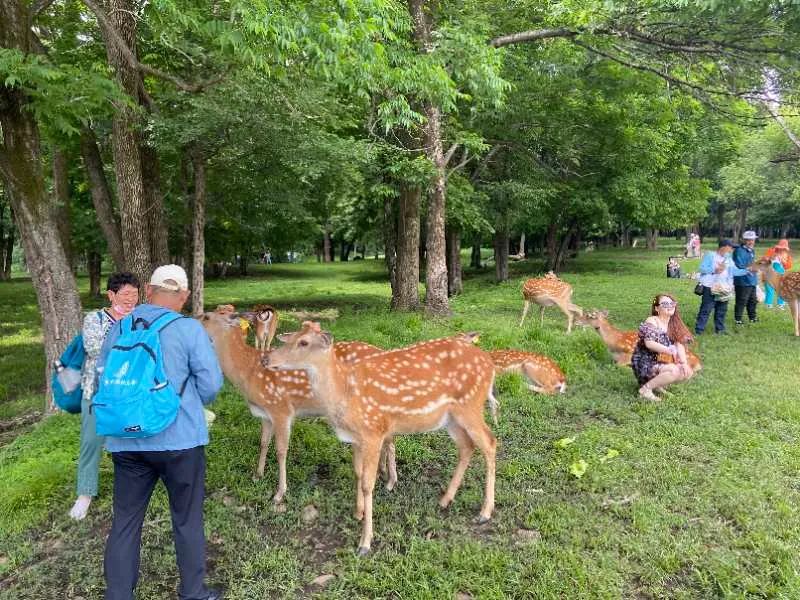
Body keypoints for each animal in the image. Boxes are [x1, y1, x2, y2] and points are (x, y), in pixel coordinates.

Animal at [198, 304, 396, 502]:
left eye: (206, 317)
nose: (193, 319)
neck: (248, 372)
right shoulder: (265, 413)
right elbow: (263, 442)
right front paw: (257, 474)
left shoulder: (281, 408)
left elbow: (281, 451)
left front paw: (279, 493)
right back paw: (383, 472)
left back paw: (390, 482)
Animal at [266, 324, 496, 552]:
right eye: (291, 338)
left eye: (303, 342)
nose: (267, 359)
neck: (344, 394)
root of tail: (490, 363)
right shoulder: (356, 439)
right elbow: (358, 473)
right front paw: (358, 513)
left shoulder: (373, 431)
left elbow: (369, 483)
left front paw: (365, 542)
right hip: (451, 418)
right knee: (467, 446)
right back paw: (445, 499)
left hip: (470, 405)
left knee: (490, 442)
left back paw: (484, 513)